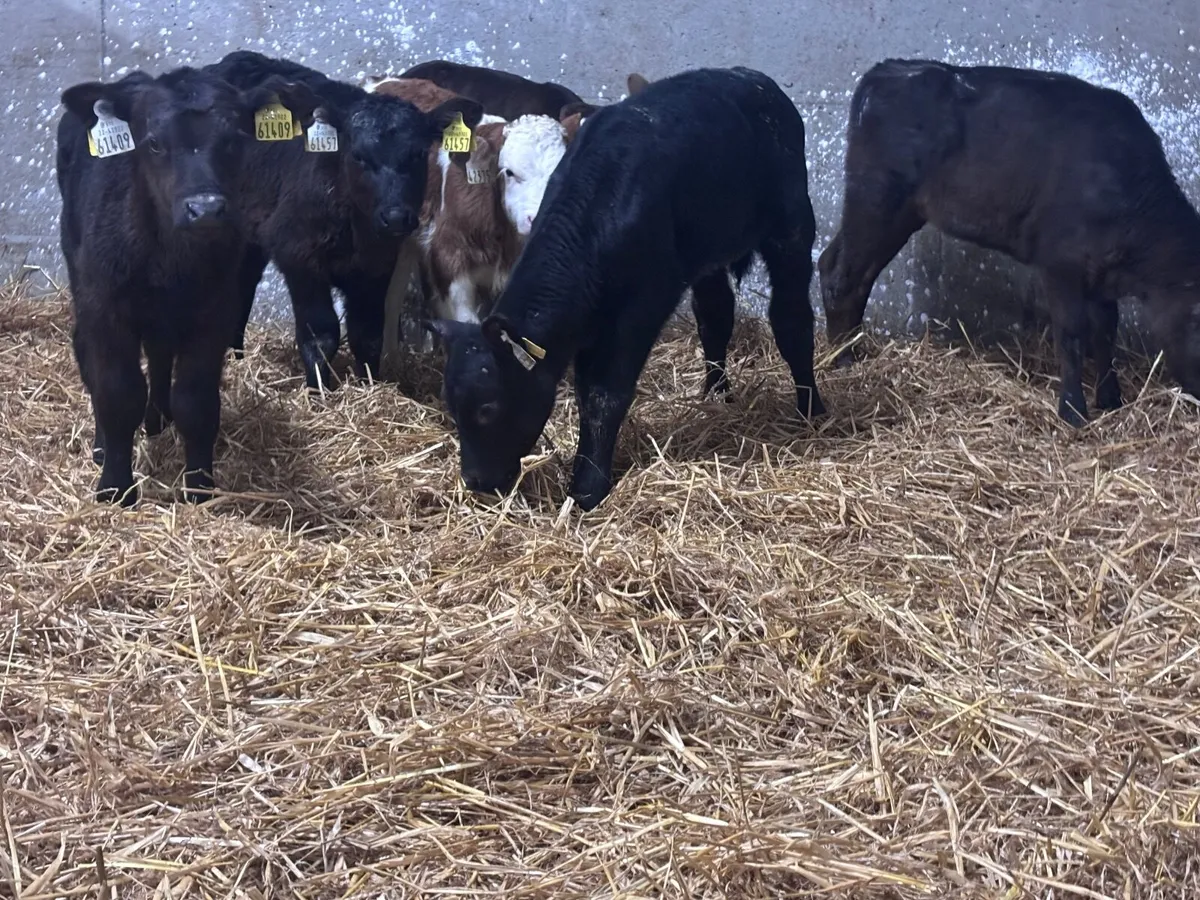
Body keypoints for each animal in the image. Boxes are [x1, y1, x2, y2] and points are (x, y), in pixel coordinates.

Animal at [56, 66, 309, 505]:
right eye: (154, 143)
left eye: (234, 140)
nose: (205, 209)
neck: (170, 261)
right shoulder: (106, 309)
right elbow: (117, 393)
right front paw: (115, 487)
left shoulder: (214, 312)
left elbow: (196, 402)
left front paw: (200, 487)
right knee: (88, 358)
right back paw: (104, 445)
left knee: (159, 357)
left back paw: (158, 417)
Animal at [209, 51, 484, 389]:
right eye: (358, 155)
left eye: (418, 154)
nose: (396, 217)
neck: (356, 231)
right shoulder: (300, 258)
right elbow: (320, 336)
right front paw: (318, 391)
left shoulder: (376, 268)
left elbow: (367, 335)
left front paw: (369, 384)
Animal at [426, 67, 825, 512]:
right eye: (451, 406)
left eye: (488, 407)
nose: (475, 481)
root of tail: (751, 78)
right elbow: (586, 391)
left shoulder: (641, 305)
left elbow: (605, 393)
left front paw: (588, 486)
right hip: (707, 249)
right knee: (715, 316)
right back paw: (715, 394)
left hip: (792, 225)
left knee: (792, 320)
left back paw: (811, 408)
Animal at [819, 58, 1200, 425]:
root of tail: (886, 71)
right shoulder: (1060, 264)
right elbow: (1072, 335)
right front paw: (1073, 412)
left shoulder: (1100, 275)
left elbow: (1106, 333)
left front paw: (1110, 400)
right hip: (876, 197)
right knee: (842, 275)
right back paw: (843, 359)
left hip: (898, 213)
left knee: (843, 266)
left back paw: (852, 350)